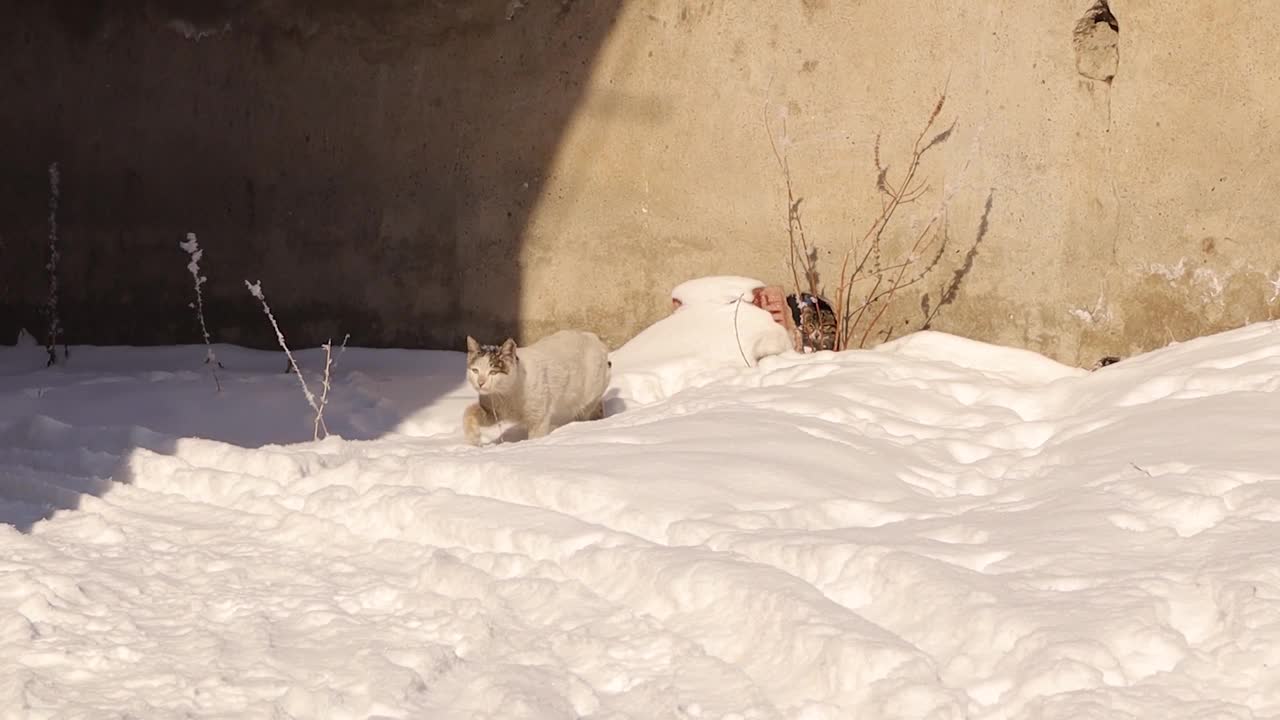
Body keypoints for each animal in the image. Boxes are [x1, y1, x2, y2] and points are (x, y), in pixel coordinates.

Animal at [463, 330, 611, 443]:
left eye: (493, 372)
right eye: (475, 371)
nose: (480, 382)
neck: (506, 395)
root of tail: (594, 337)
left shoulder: (538, 418)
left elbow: (535, 438)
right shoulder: (491, 411)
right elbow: (469, 412)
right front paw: (473, 439)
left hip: (588, 398)